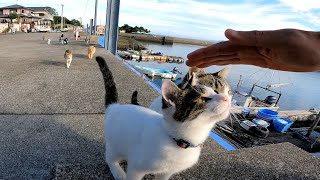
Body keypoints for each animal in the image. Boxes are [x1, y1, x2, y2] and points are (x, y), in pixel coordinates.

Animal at [95, 56, 230, 180]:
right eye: (204, 99)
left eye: (216, 91)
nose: (226, 99)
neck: (179, 141)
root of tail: (115, 106)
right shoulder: (136, 167)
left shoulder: (166, 172)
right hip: (115, 144)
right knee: (110, 157)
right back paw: (118, 171)